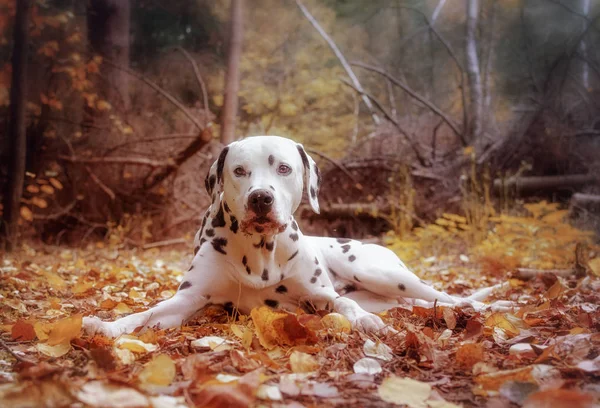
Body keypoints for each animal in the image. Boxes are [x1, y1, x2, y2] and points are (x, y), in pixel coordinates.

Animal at [84, 135, 508, 336]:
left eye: (284, 168)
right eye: (239, 170)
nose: (260, 198)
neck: (260, 253)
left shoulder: (321, 297)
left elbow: (343, 304)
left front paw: (366, 325)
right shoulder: (187, 301)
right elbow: (146, 314)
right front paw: (107, 326)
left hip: (380, 272)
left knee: (447, 296)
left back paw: (493, 306)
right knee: (420, 304)